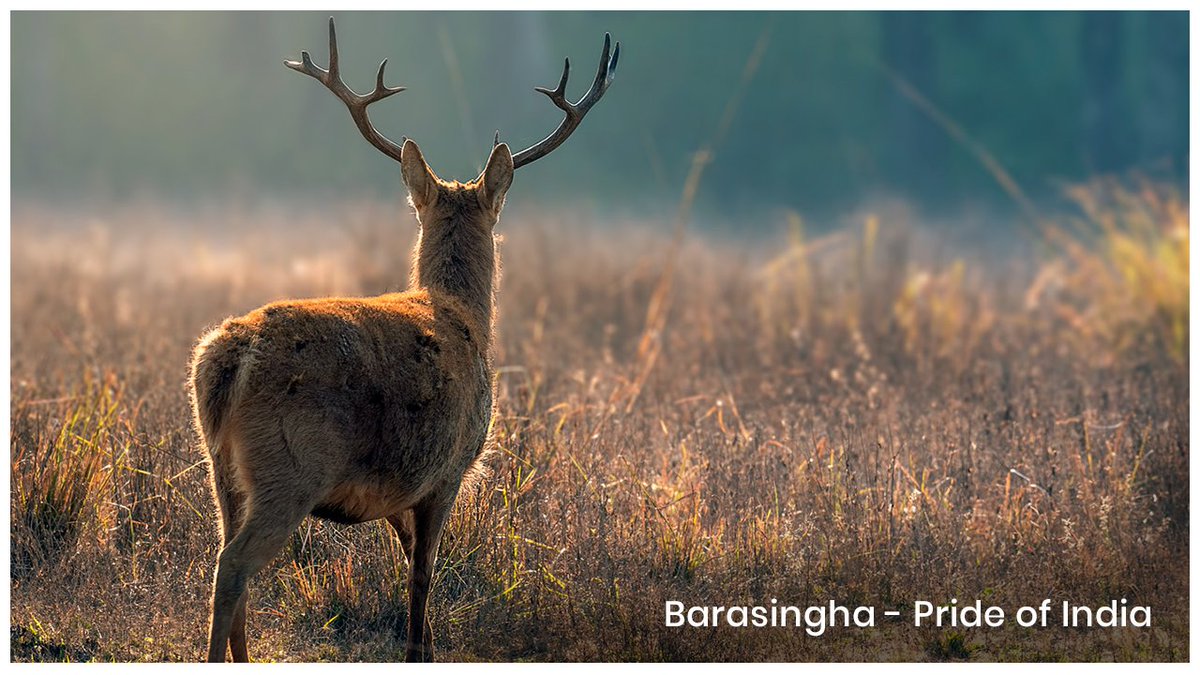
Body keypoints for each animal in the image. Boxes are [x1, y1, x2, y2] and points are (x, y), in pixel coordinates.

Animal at [188, 18, 618, 663]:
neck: (467, 316)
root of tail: (227, 359)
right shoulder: (450, 466)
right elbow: (423, 572)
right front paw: (419, 649)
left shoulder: (397, 486)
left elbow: (405, 553)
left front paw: (432, 643)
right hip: (290, 466)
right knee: (232, 565)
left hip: (221, 467)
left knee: (224, 549)